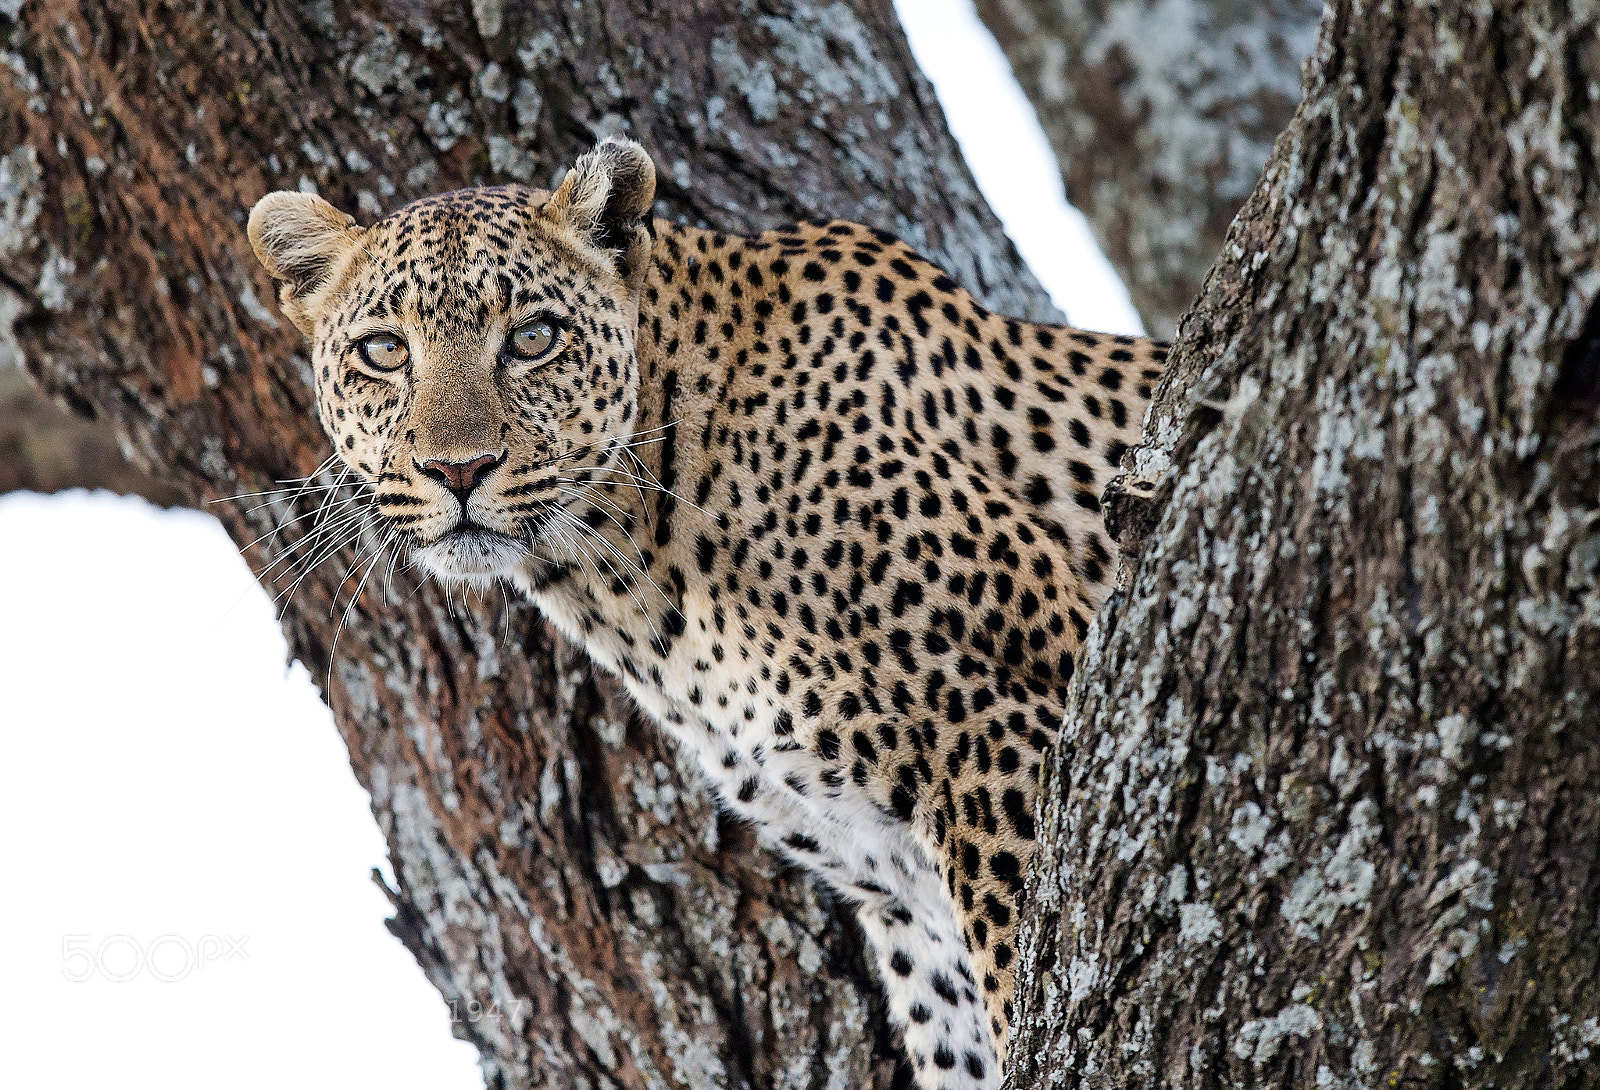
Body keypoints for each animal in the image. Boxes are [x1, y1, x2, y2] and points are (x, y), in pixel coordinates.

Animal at [247, 137, 1166, 1090]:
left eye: (534, 338)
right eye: (385, 351)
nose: (457, 470)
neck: (629, 571)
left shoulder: (1003, 733)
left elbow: (1023, 980)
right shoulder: (897, 887)